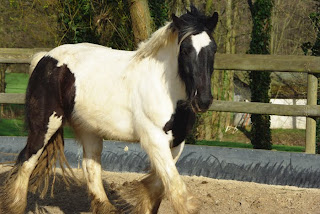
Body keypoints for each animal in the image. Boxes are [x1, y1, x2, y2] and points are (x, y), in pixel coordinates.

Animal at [0, 6, 218, 214]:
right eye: (186, 50)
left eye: (213, 49)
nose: (203, 100)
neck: (165, 88)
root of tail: (45, 58)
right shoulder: (154, 138)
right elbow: (176, 189)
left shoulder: (177, 143)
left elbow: (159, 184)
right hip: (46, 124)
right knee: (27, 160)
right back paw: (15, 205)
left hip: (89, 130)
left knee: (90, 167)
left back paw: (105, 207)